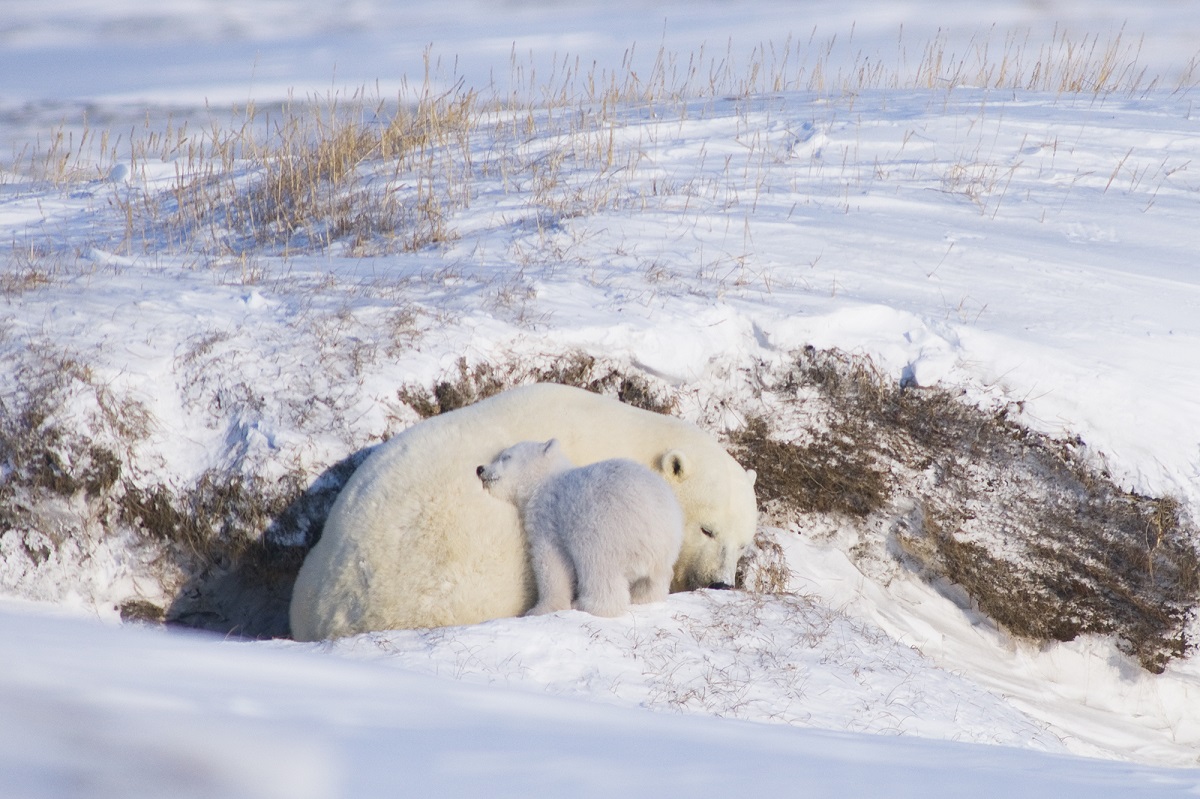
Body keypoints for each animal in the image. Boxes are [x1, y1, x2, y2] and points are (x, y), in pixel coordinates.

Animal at [477, 439, 684, 617]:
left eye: (505, 457)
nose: (480, 469)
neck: (544, 483)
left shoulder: (549, 518)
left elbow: (551, 563)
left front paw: (540, 609)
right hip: (664, 552)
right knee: (654, 581)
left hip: (603, 530)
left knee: (598, 569)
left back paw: (585, 605)